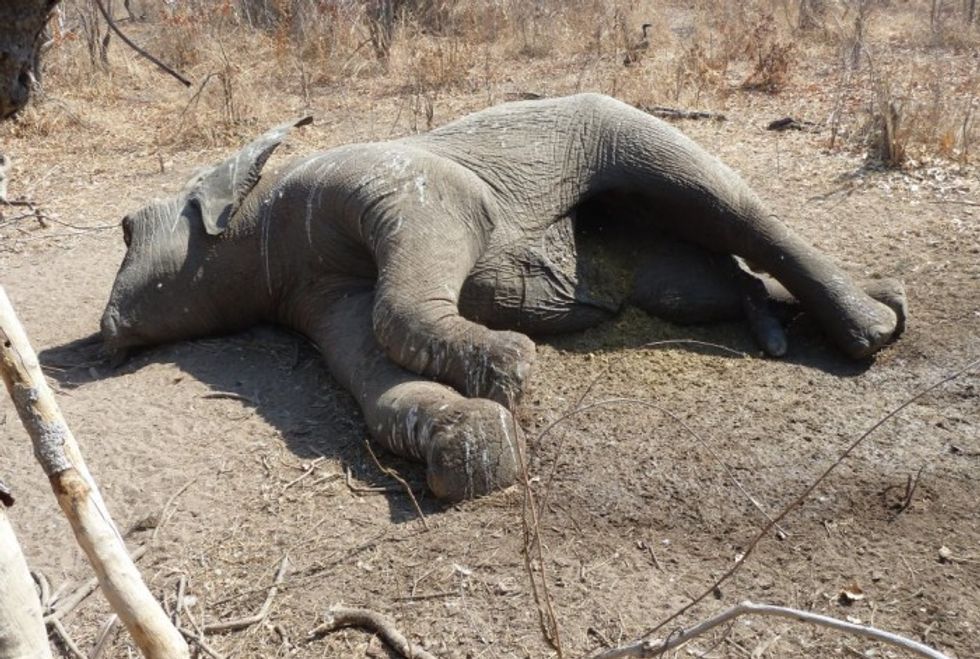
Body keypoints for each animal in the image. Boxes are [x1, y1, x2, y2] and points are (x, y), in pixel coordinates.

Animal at [101, 93, 906, 502]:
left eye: (126, 228)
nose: (103, 335)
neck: (259, 212)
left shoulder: (397, 187)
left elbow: (398, 310)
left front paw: (510, 369)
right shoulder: (313, 292)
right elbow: (371, 370)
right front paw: (475, 446)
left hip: (629, 134)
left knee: (740, 212)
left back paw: (872, 323)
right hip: (664, 265)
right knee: (717, 281)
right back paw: (777, 327)